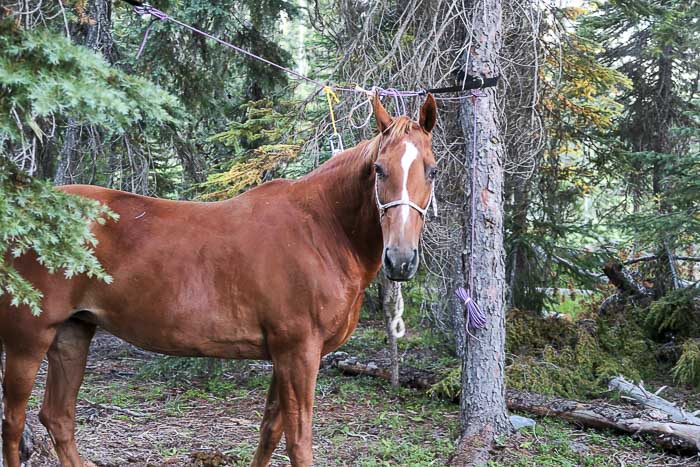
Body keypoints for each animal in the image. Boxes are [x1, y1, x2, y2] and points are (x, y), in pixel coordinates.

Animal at [0, 93, 438, 466]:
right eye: (379, 169)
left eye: (432, 170)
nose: (400, 259)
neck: (321, 229)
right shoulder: (299, 351)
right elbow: (298, 440)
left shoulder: (283, 354)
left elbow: (269, 431)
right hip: (28, 339)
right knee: (14, 423)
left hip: (72, 333)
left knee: (58, 417)